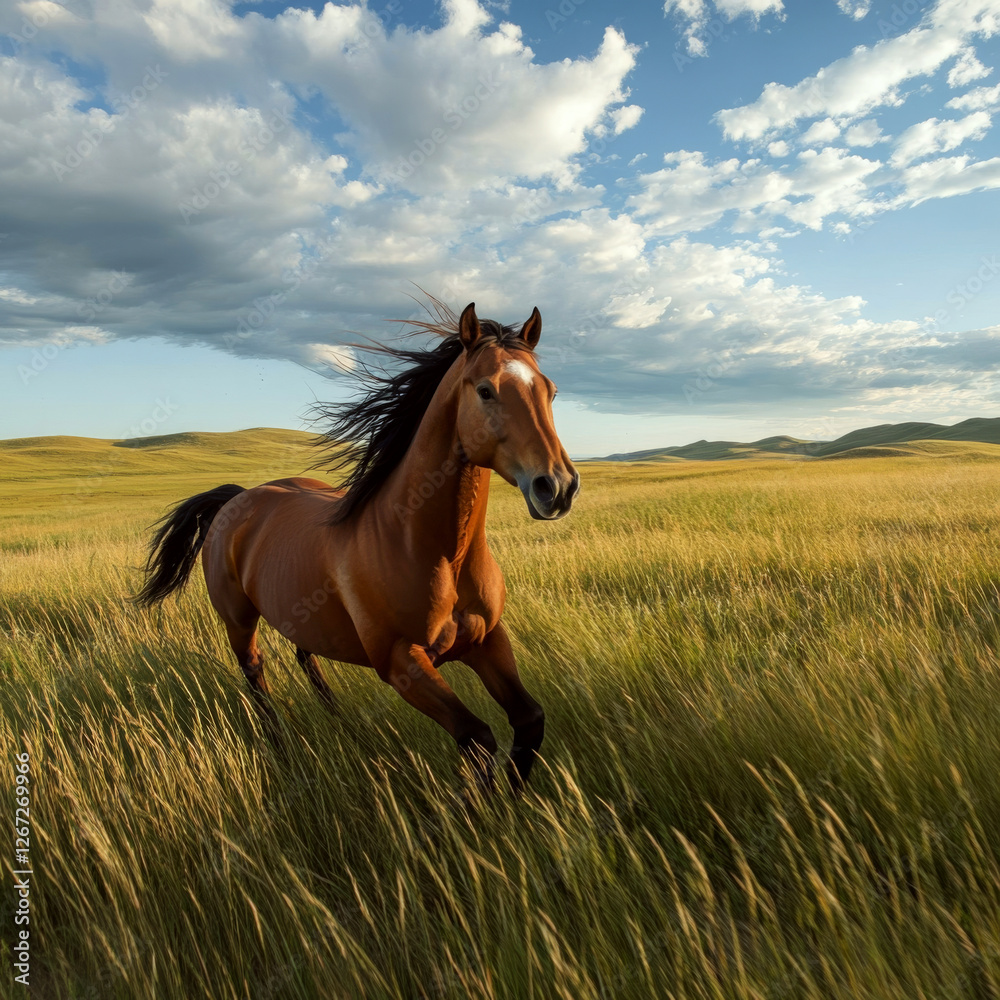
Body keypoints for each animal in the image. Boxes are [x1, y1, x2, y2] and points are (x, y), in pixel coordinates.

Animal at [136, 301, 580, 791]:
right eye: (486, 390)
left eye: (550, 392)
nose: (557, 487)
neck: (433, 550)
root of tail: (239, 496)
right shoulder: (402, 663)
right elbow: (478, 740)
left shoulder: (487, 640)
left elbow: (529, 721)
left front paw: (515, 801)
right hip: (238, 619)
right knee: (255, 672)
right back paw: (281, 748)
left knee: (304, 654)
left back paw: (342, 723)